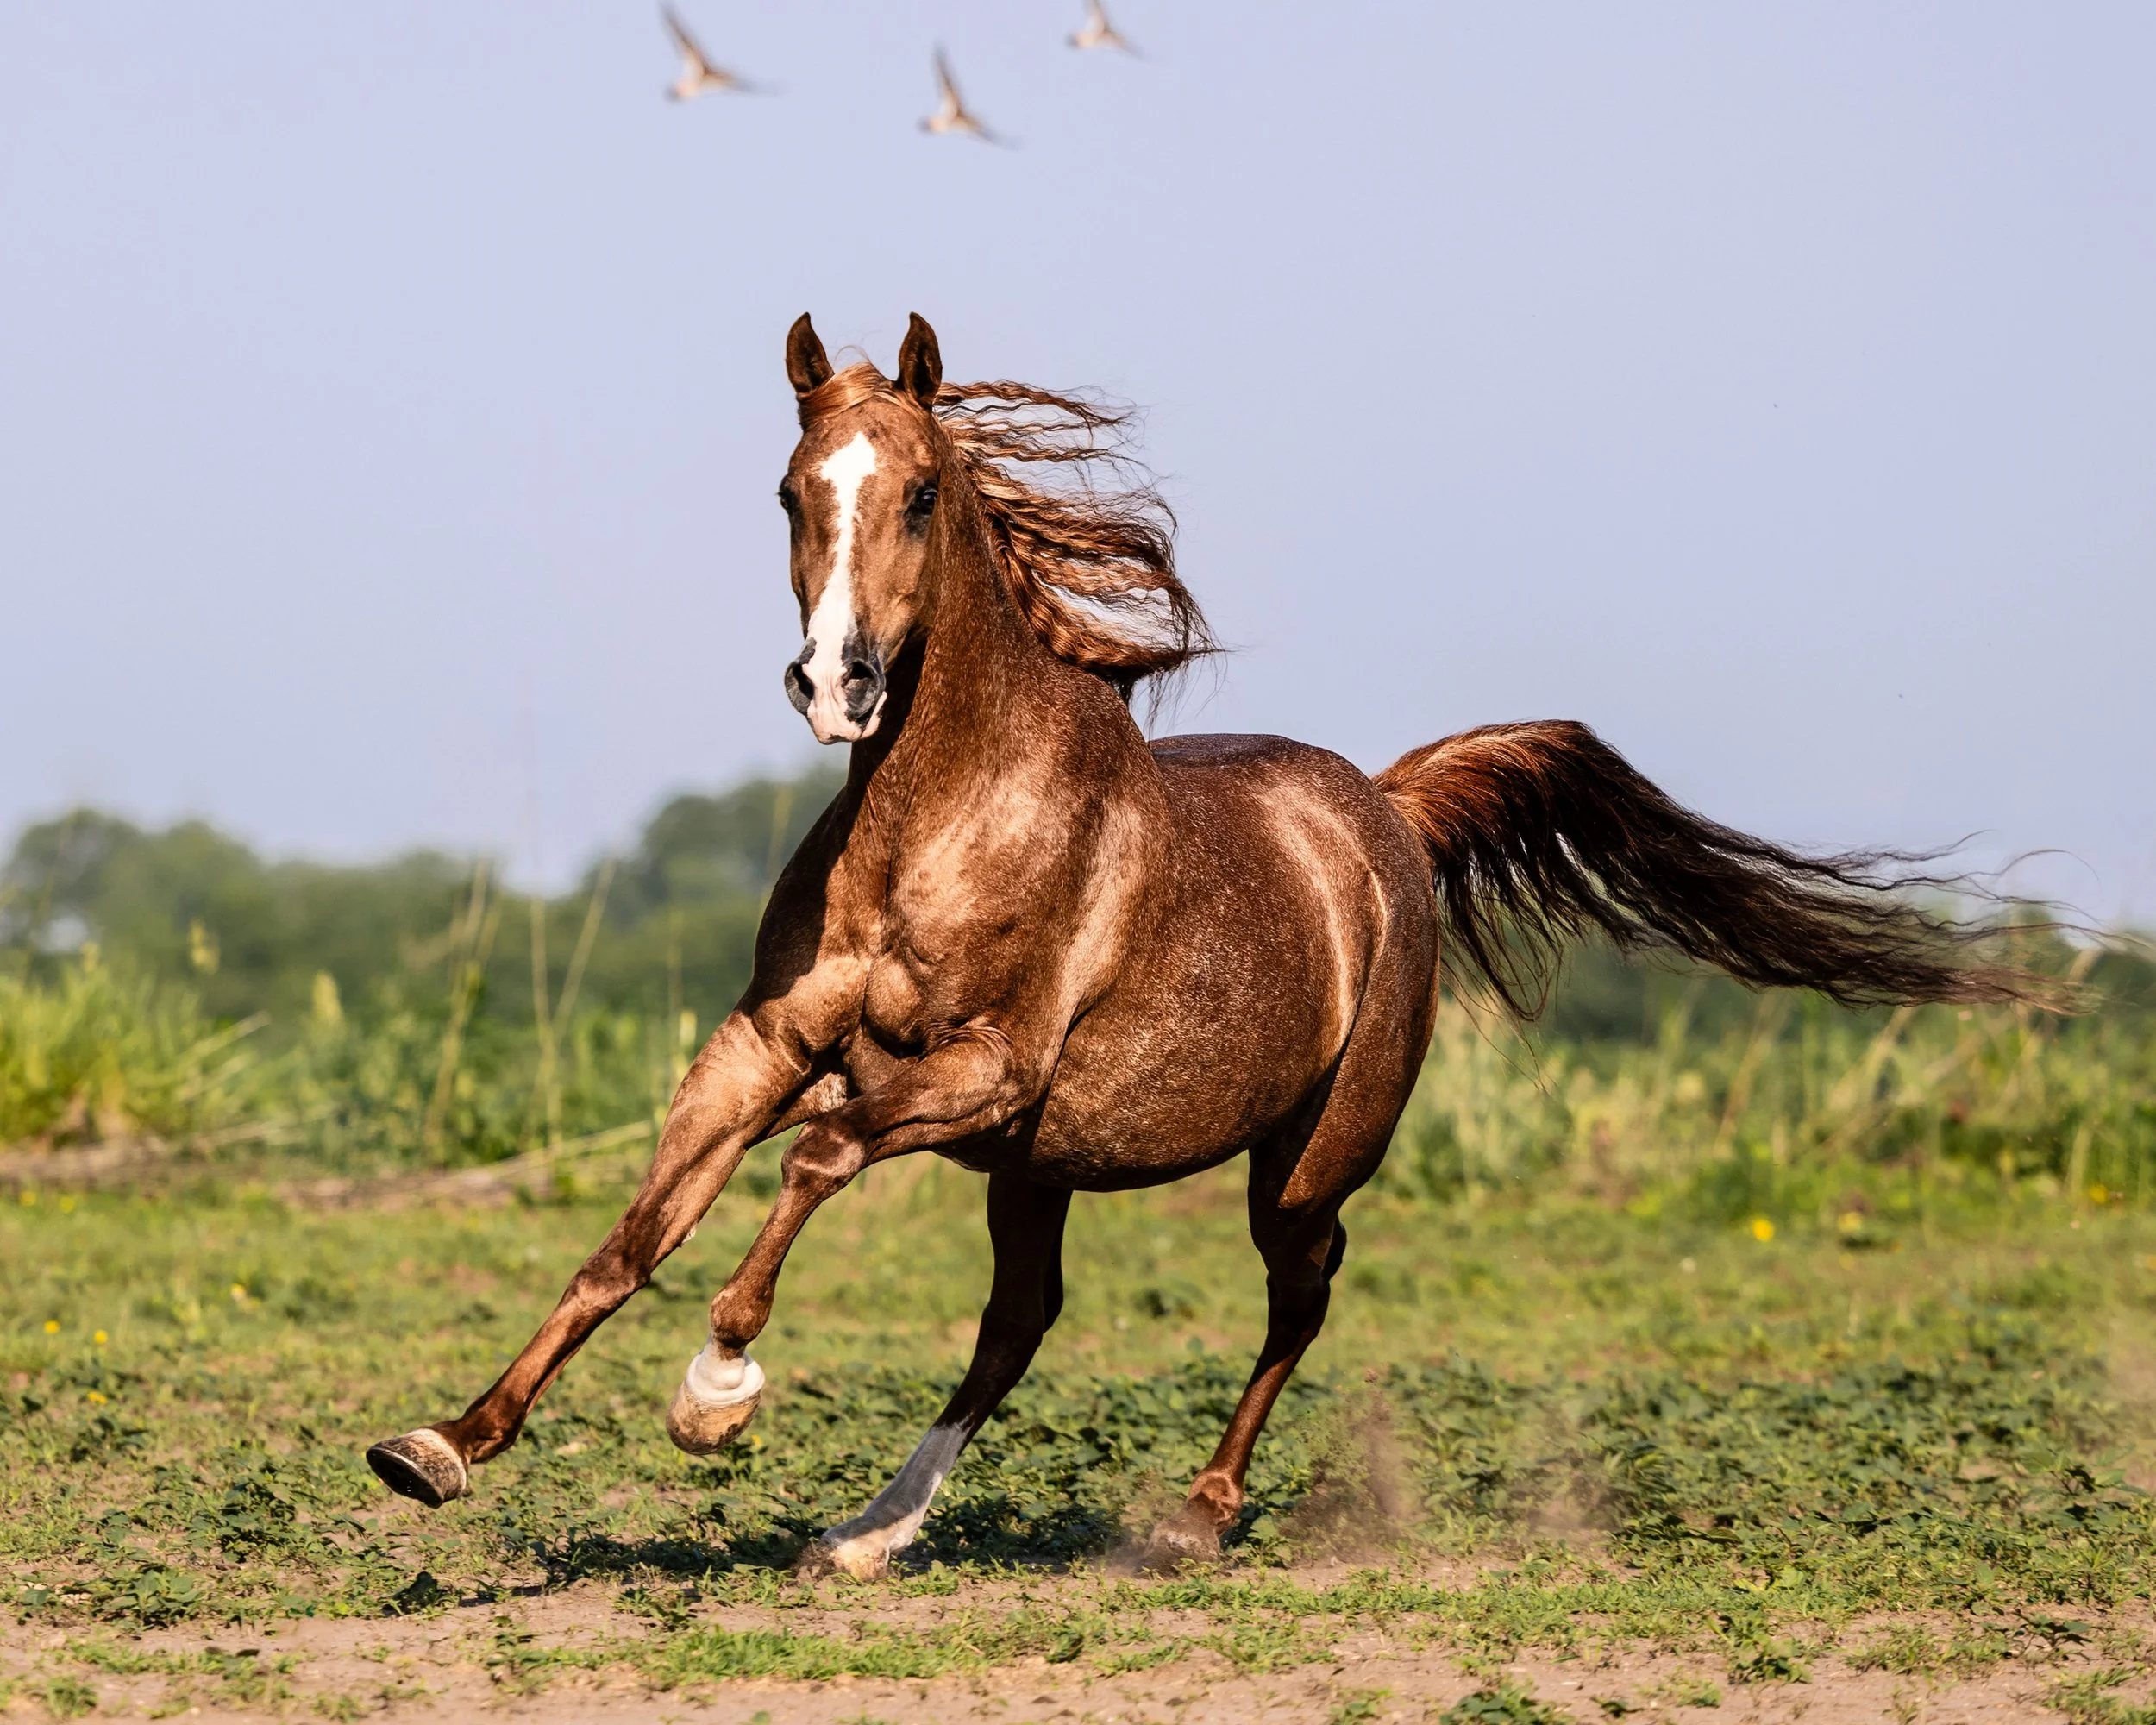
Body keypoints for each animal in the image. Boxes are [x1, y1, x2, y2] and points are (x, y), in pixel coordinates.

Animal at [367, 312, 2045, 1577]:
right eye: (789, 493)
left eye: (918, 497)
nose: (835, 683)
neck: (942, 827)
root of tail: (1384, 811)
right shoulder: (767, 1044)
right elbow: (635, 1237)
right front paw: (442, 1445)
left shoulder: (979, 1075)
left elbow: (819, 1157)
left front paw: (715, 1396)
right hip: (1045, 1174)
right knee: (1018, 1326)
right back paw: (869, 1534)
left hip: (1298, 1162)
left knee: (1299, 1294)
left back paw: (1192, 1517)